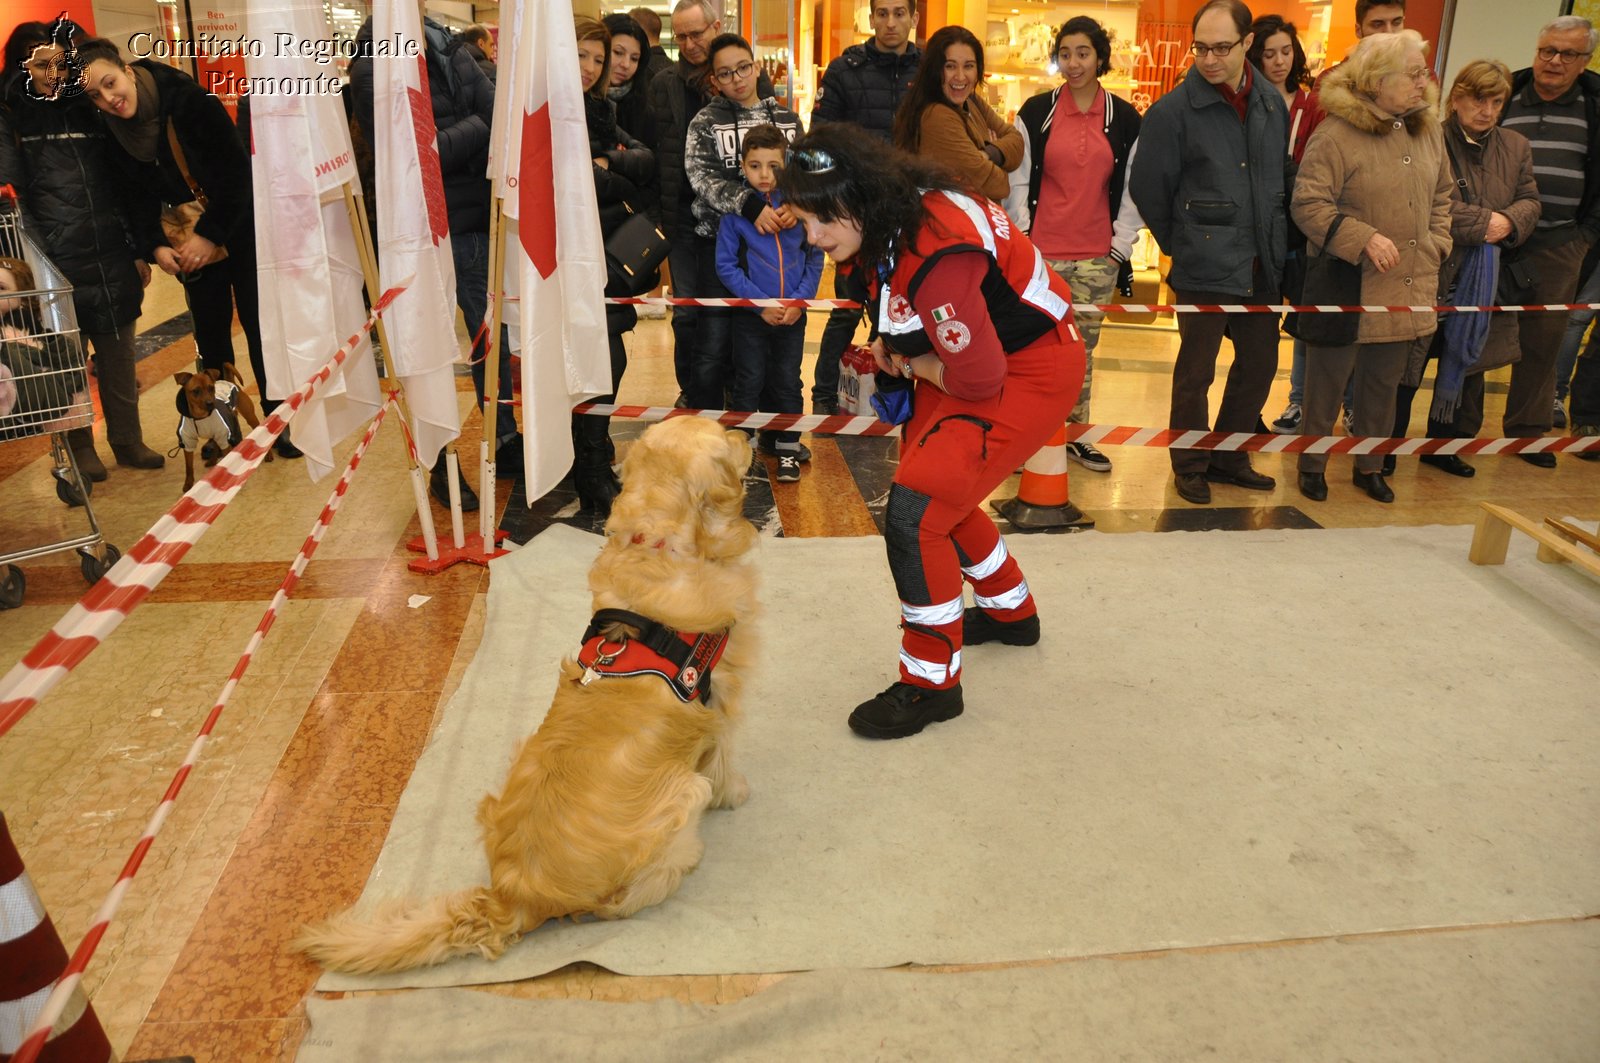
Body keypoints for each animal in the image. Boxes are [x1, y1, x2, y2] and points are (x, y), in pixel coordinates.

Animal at [173, 358, 267, 486]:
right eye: (196, 391)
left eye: (211, 388)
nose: (210, 403)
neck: (201, 417)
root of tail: (230, 381)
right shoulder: (188, 442)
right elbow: (189, 467)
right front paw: (188, 485)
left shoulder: (223, 437)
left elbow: (225, 460)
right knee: (215, 445)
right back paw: (212, 461)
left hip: (250, 418)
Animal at [294, 413, 761, 973]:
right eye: (724, 434)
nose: (749, 434)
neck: (658, 544)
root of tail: (511, 897)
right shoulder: (723, 692)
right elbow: (725, 756)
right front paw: (736, 791)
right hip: (682, 799)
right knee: (624, 901)